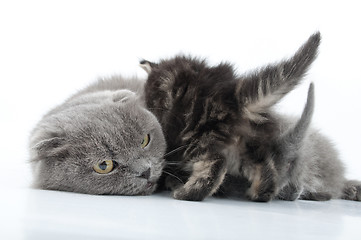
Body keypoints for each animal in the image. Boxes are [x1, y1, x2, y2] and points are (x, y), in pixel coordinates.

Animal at [140, 31, 360, 201]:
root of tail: (233, 97)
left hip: (196, 137)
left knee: (215, 164)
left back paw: (186, 193)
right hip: (248, 145)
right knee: (265, 169)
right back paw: (259, 193)